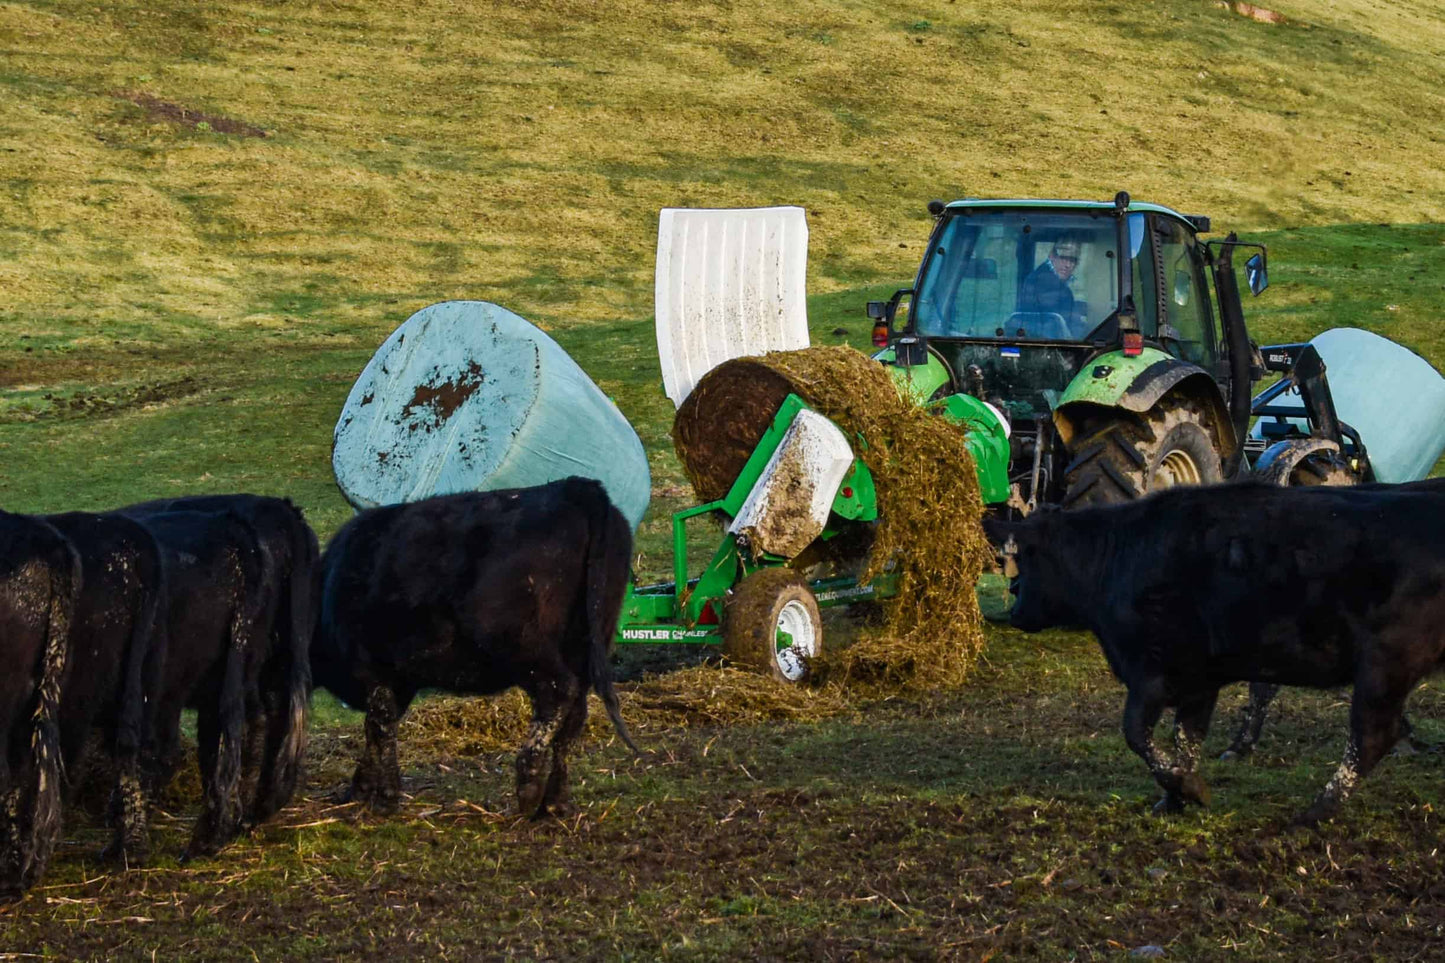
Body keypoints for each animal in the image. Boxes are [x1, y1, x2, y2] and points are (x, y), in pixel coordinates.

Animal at [319, 477, 641, 815]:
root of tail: (575, 488)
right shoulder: (397, 680)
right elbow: (381, 728)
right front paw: (363, 788)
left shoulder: (372, 669)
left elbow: (378, 726)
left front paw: (383, 795)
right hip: (588, 641)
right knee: (574, 715)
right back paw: (554, 802)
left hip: (520, 642)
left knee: (558, 691)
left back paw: (529, 784)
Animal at [988, 482, 1445, 821]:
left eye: (1024, 559)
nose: (1015, 611)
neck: (1118, 558)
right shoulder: (1199, 680)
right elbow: (1185, 739)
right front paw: (1174, 797)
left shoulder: (1153, 672)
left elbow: (1137, 734)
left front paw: (1188, 789)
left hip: (1385, 664)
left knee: (1372, 735)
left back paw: (1317, 811)